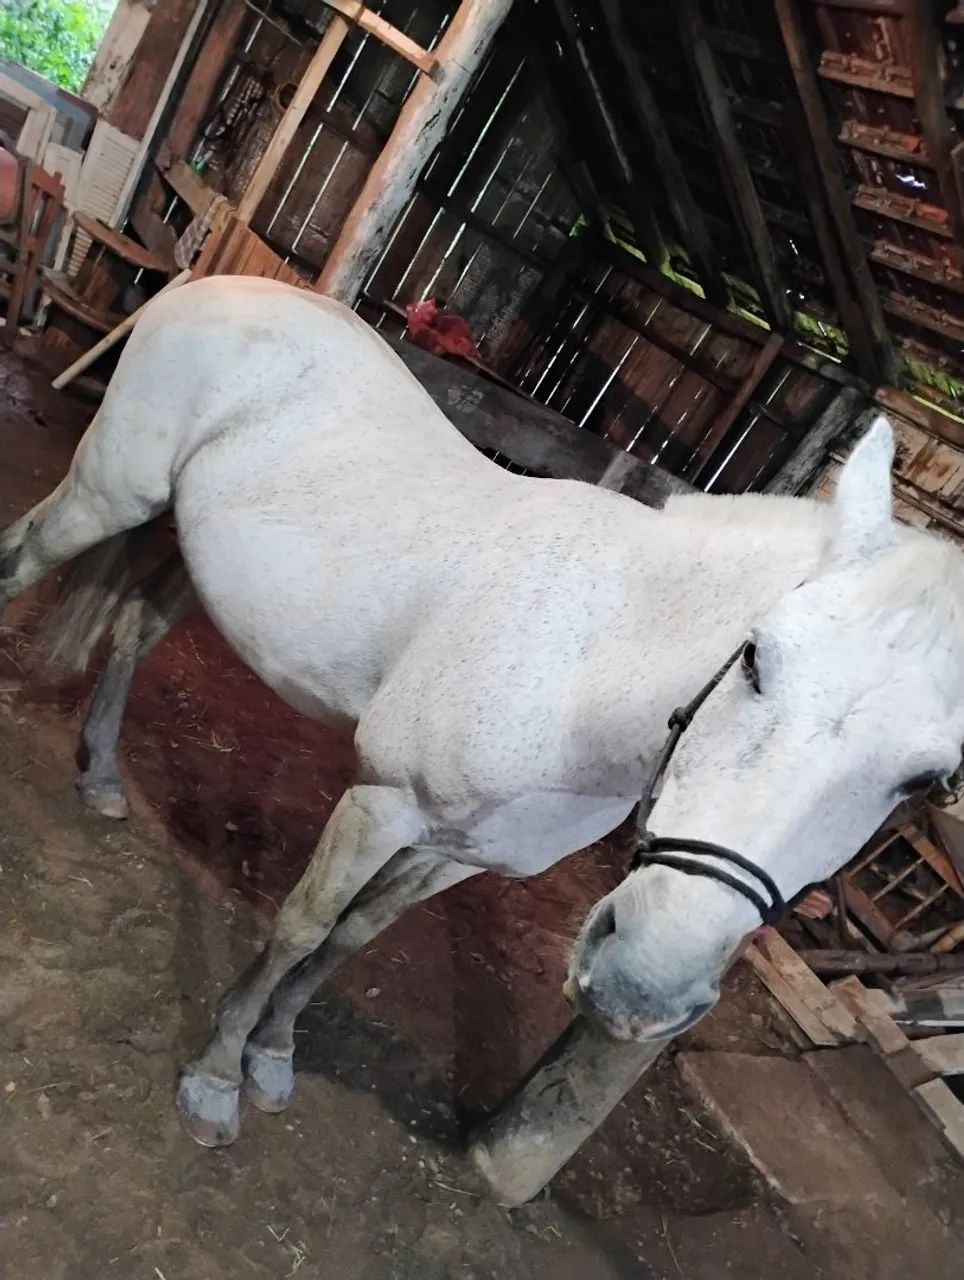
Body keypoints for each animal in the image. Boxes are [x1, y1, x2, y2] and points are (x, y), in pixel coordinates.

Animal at [3, 275, 963, 1150]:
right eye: (757, 655)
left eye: (928, 782)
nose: (644, 983)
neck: (584, 658)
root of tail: (219, 281)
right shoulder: (381, 805)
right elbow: (301, 925)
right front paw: (213, 1078)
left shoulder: (454, 856)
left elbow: (346, 943)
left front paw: (272, 1056)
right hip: (108, 498)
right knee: (22, 561)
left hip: (193, 553)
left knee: (135, 628)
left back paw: (100, 776)